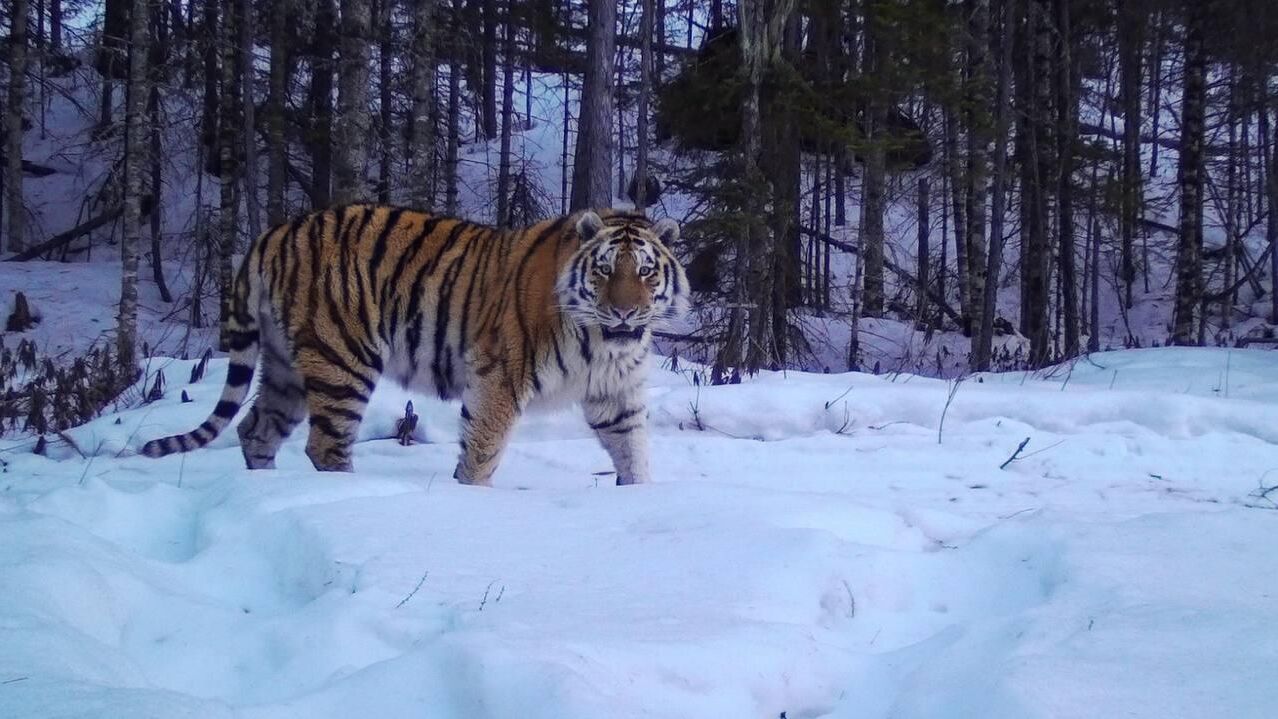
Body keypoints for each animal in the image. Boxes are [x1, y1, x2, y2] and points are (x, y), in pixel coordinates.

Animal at [142, 205, 690, 487]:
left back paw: (264, 490)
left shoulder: (615, 395)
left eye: (645, 271)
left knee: (255, 429)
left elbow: (633, 453)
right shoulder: (499, 378)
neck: (601, 344)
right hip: (343, 359)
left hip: (286, 367)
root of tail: (273, 232)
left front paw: (636, 495)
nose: (626, 312)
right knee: (325, 444)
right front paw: (470, 494)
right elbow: (482, 451)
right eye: (604, 270)